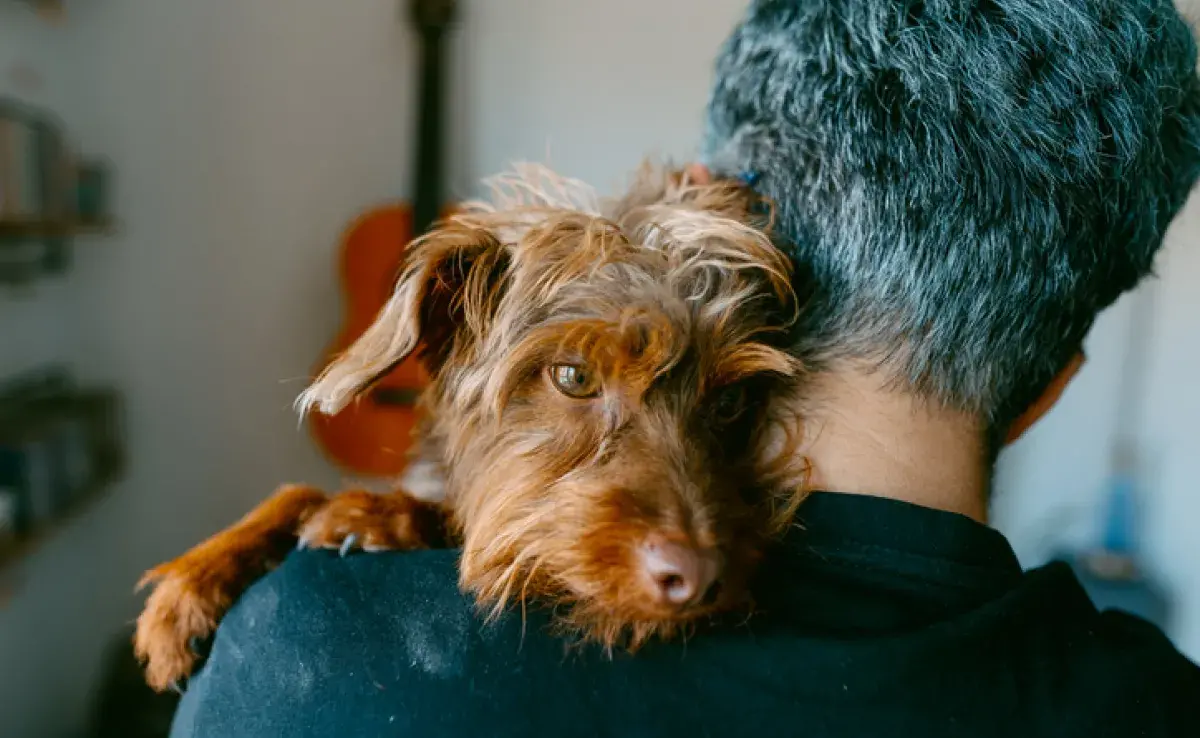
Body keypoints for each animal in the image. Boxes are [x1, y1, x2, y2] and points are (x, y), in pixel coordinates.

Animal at [131, 162, 811, 691]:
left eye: (730, 401)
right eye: (573, 376)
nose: (697, 578)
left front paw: (378, 517)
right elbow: (295, 492)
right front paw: (191, 587)